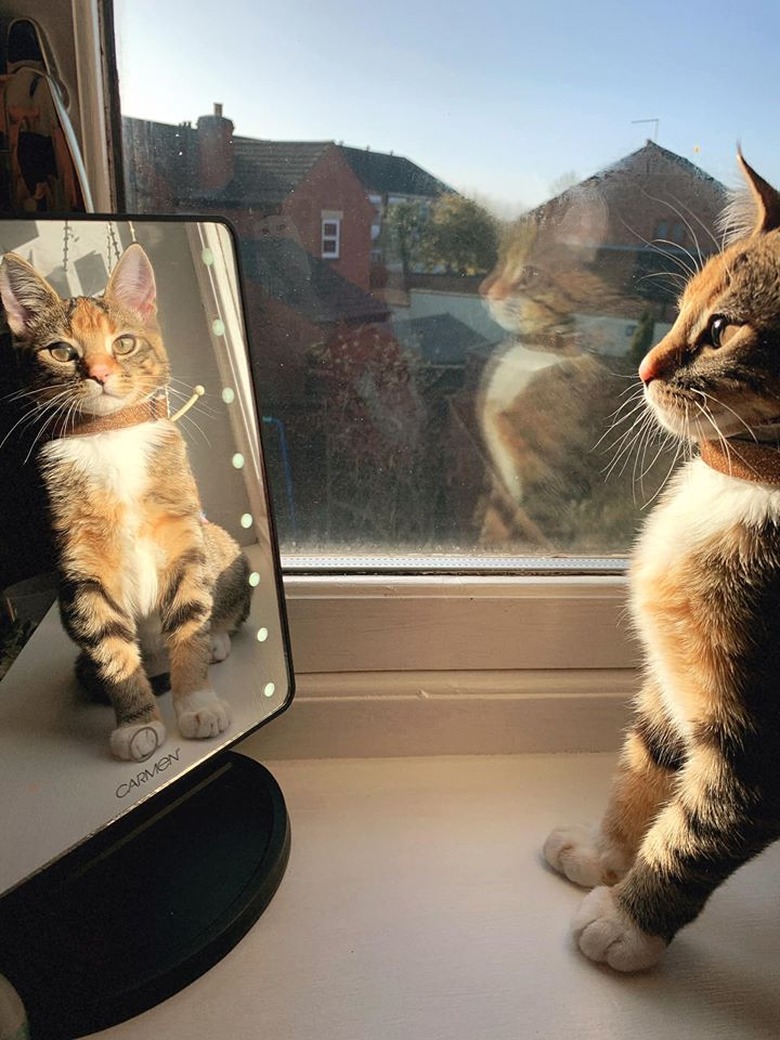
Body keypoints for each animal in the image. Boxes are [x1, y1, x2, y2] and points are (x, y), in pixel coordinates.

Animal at [0, 243, 251, 765]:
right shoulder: (80, 570)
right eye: (61, 350)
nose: (99, 373)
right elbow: (111, 650)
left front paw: (197, 703)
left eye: (124, 343)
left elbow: (189, 623)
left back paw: (217, 638)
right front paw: (137, 723)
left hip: (221, 546)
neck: (108, 438)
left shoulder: (183, 538)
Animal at [544, 151, 780, 965]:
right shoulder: (676, 681)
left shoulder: (757, 741)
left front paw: (626, 923)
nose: (643, 367)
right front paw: (603, 857)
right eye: (680, 309)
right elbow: (644, 765)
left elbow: (695, 834)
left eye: (722, 329)